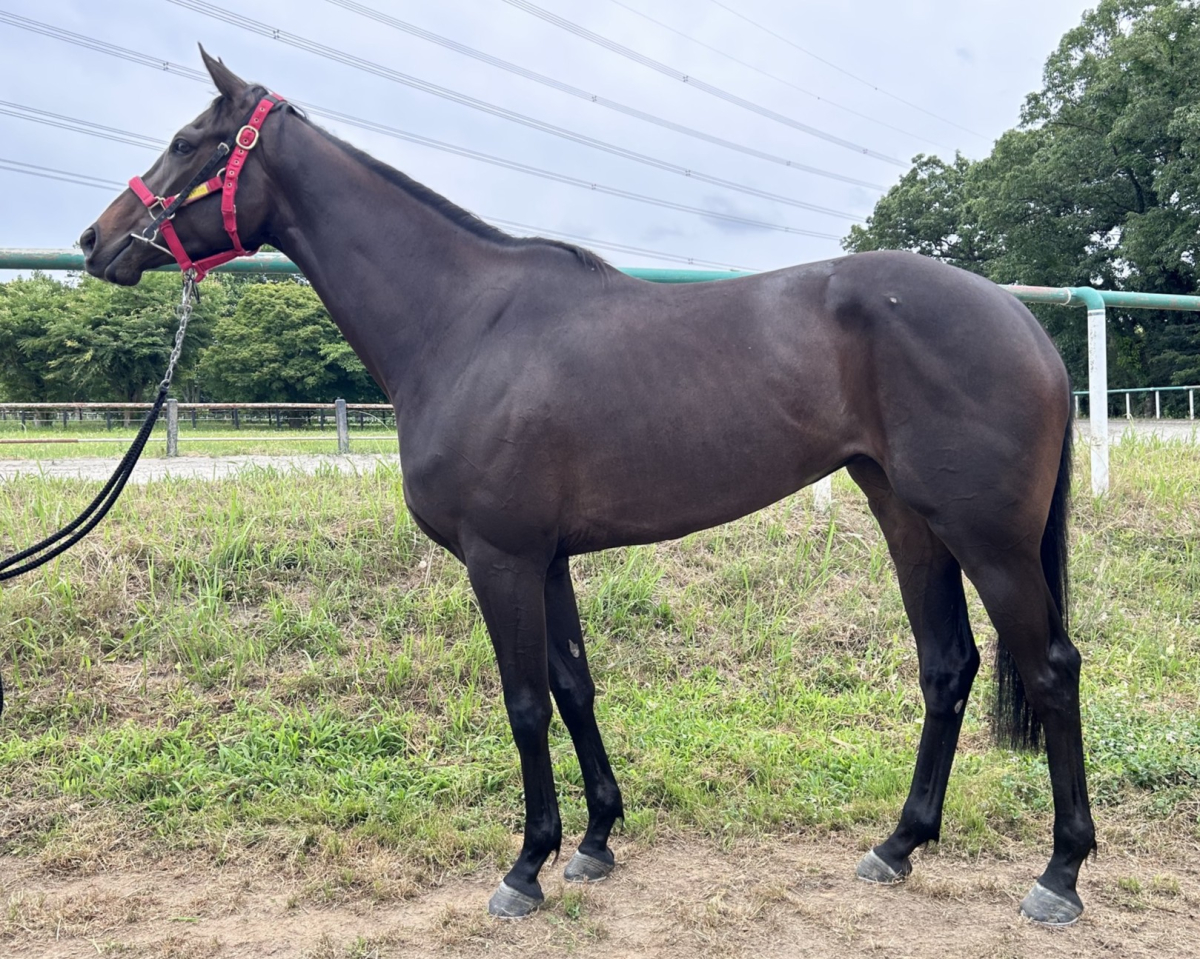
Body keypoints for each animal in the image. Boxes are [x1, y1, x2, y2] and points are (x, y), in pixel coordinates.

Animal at [80, 51, 1094, 925]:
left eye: (187, 141)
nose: (96, 240)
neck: (463, 322)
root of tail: (1022, 324)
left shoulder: (499, 557)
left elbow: (525, 701)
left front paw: (526, 863)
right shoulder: (548, 557)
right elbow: (574, 685)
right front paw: (598, 839)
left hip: (989, 539)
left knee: (1050, 668)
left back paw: (1060, 874)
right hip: (907, 518)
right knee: (946, 664)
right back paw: (897, 844)